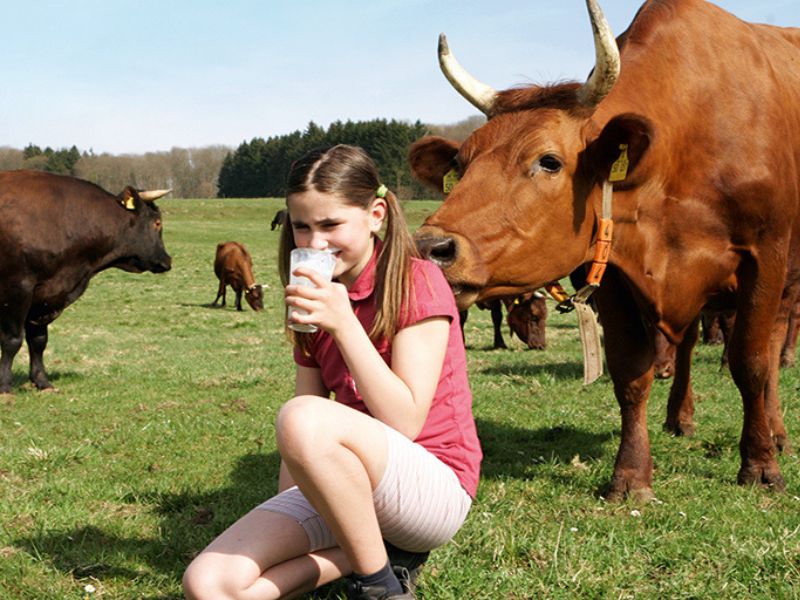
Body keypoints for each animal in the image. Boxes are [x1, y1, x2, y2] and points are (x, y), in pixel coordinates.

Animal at [0, 169, 172, 394]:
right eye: (157, 223)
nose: (167, 260)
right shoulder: (18, 288)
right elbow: (12, 340)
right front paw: (4, 386)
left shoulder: (45, 296)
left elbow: (38, 340)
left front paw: (42, 381)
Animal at [410, 0, 800, 502]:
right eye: (460, 163)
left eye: (549, 161)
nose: (428, 247)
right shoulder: (614, 273)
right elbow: (631, 373)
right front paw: (631, 476)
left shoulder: (763, 258)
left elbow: (750, 363)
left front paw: (760, 466)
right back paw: (680, 417)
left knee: (770, 351)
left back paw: (776, 433)